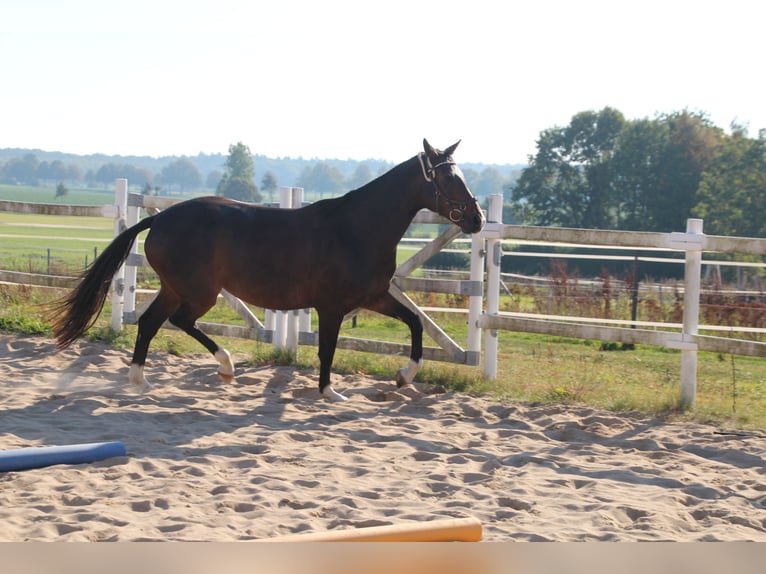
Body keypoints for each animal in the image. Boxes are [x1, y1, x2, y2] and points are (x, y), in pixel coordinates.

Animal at [51, 139, 486, 402]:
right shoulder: (331, 307)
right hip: (200, 292)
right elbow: (327, 349)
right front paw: (330, 392)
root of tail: (159, 218)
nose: (477, 219)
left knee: (149, 322)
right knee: (178, 321)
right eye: (447, 176)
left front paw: (403, 377)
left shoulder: (374, 297)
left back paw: (141, 380)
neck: (357, 228)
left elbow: (415, 323)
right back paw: (225, 365)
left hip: (176, 288)